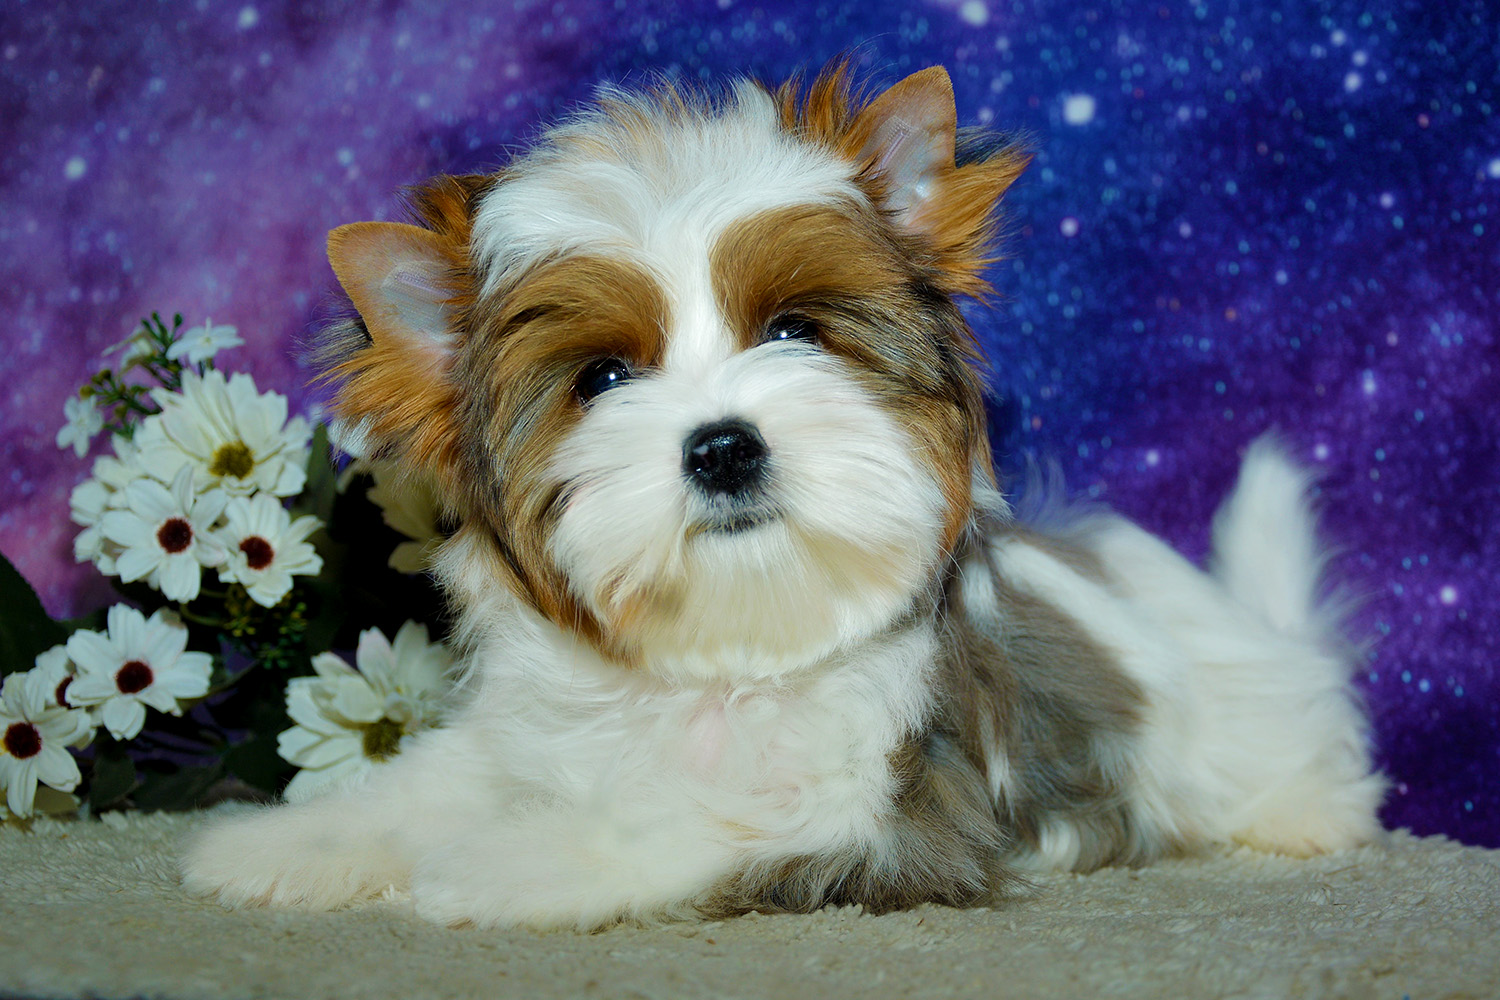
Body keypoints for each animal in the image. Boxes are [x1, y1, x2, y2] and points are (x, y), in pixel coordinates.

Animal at [181, 64, 1385, 929]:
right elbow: (433, 782)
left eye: (796, 329)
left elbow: (688, 824)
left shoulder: (884, 814)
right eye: (601, 379)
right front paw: (288, 843)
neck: (730, 648)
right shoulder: (520, 733)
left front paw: (503, 862)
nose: (722, 446)